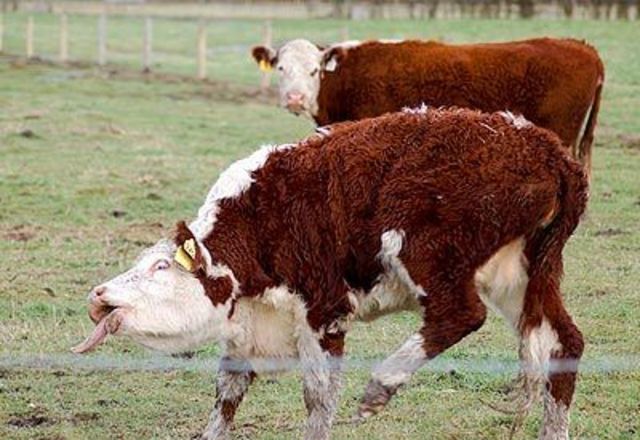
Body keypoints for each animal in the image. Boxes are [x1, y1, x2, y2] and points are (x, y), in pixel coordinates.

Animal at [73, 107, 588, 440]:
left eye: (160, 266)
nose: (98, 295)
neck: (259, 220)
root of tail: (552, 152)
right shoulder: (249, 327)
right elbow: (227, 395)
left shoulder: (323, 310)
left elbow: (319, 398)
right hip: (521, 277)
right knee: (563, 345)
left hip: (426, 251)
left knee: (459, 315)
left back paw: (382, 385)